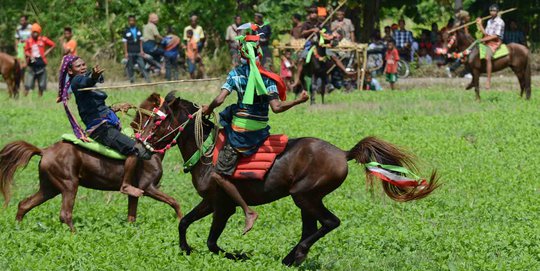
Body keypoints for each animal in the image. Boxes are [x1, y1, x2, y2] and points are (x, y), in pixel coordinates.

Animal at [0, 93, 182, 232]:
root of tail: (44, 151)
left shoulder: (136, 193)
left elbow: (132, 216)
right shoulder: (148, 187)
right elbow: (175, 202)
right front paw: (181, 221)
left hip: (49, 187)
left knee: (24, 204)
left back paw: (18, 229)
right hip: (68, 184)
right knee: (65, 214)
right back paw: (75, 235)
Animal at [132, 92, 438, 266]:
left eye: (156, 122)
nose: (138, 147)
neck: (206, 155)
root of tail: (343, 153)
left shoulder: (223, 206)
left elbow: (212, 242)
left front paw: (241, 255)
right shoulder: (210, 202)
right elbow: (184, 222)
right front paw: (185, 249)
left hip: (305, 195)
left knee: (330, 223)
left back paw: (294, 255)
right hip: (306, 199)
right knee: (312, 227)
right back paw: (295, 257)